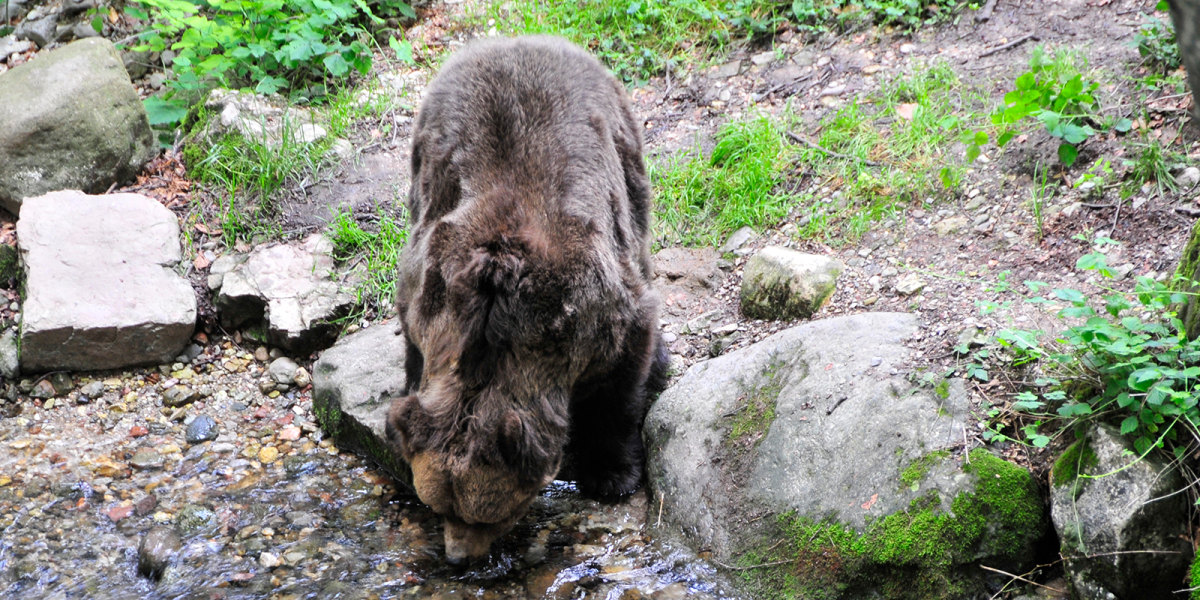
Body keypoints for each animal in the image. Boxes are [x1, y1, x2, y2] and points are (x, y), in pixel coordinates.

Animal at [384, 35, 667, 564]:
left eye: (485, 516)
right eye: (438, 507)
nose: (458, 558)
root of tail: (515, 37)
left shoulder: (594, 308)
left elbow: (623, 375)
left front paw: (611, 473)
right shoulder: (427, 288)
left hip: (619, 140)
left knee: (638, 227)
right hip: (423, 153)